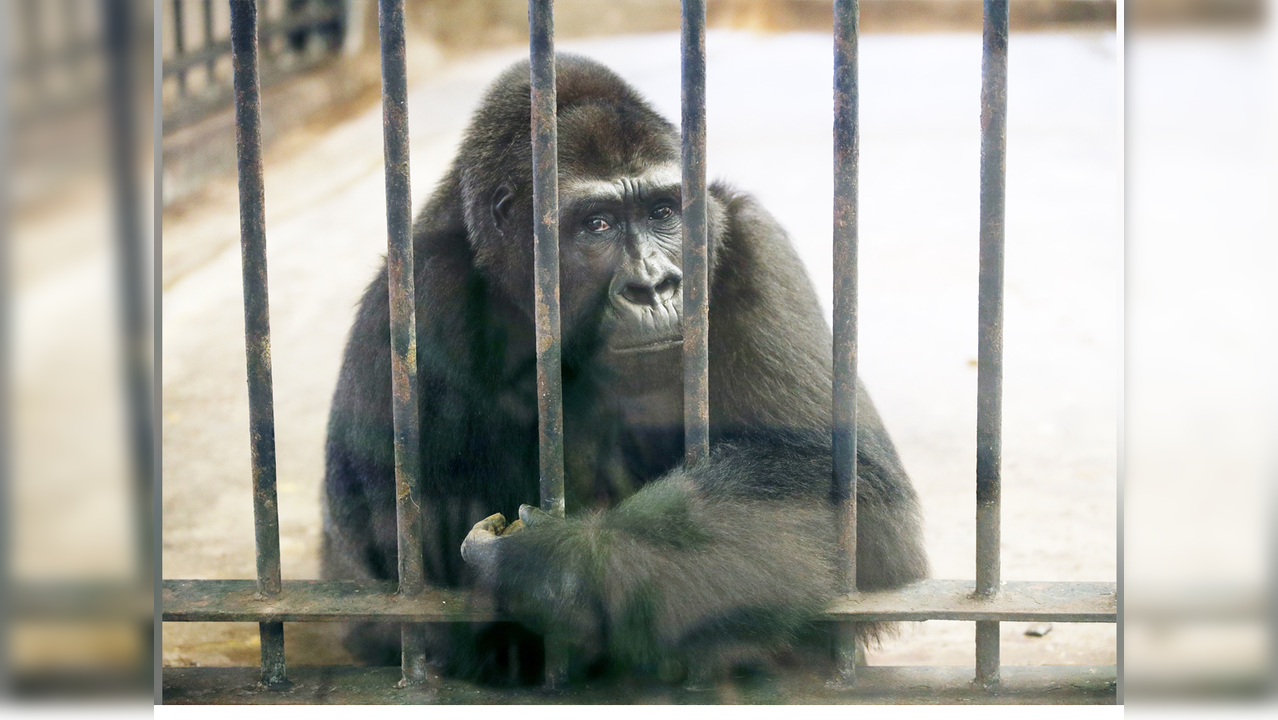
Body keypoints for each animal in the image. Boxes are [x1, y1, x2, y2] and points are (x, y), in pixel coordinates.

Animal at [318, 53, 920, 685]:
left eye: (662, 212)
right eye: (597, 224)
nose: (652, 286)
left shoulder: (753, 242)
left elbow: (842, 480)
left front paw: (554, 567)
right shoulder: (417, 296)